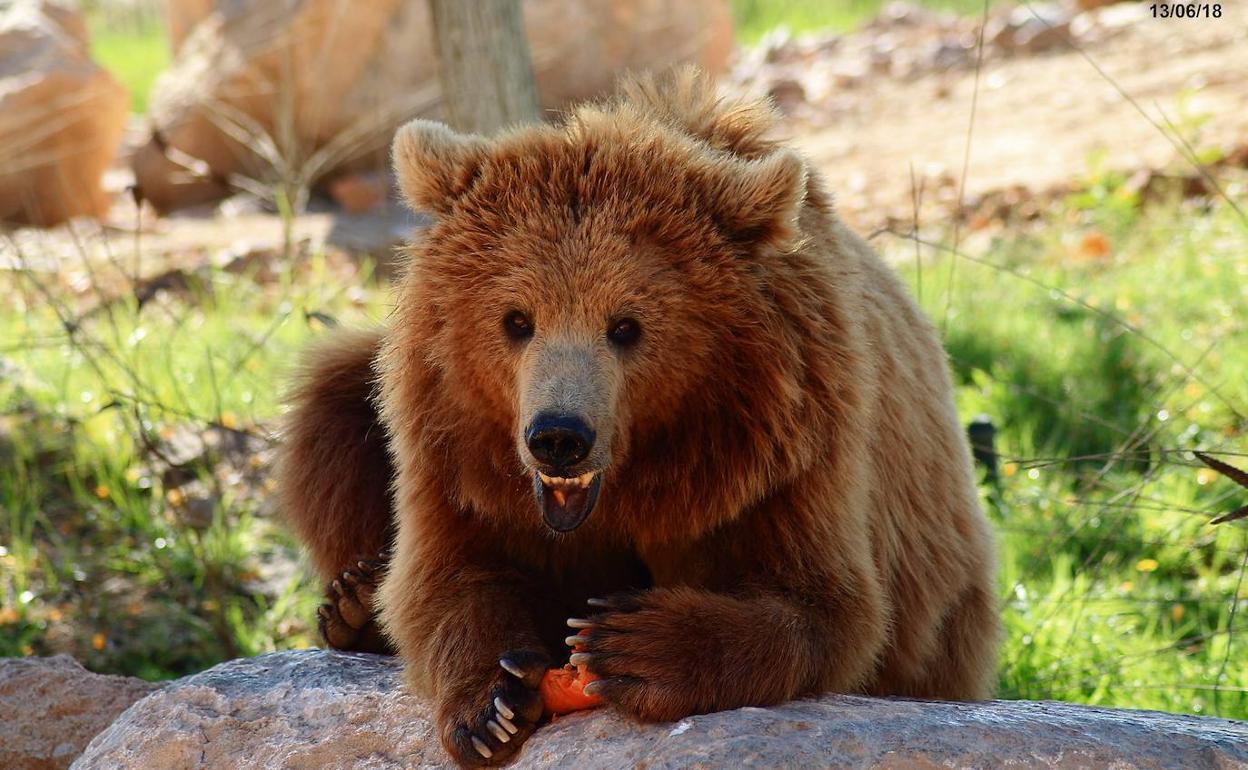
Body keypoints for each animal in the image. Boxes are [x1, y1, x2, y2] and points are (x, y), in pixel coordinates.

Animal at [278, 68, 998, 763]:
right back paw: (352, 600)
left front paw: (624, 642)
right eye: (516, 320)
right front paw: (492, 704)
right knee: (331, 406)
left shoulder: (789, 449)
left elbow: (823, 607)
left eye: (626, 326)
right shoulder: (454, 452)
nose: (559, 437)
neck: (639, 479)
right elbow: (445, 579)